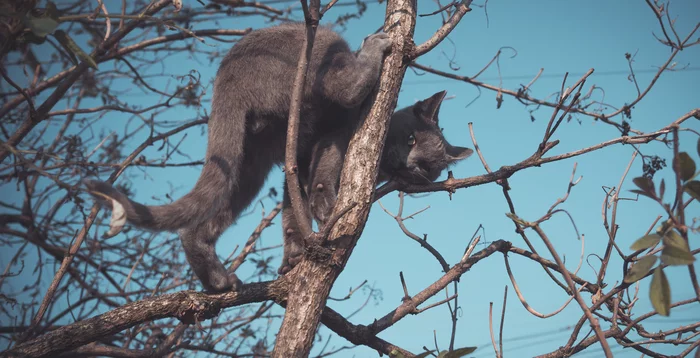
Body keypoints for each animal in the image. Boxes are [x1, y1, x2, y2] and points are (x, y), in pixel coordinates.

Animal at [85, 22, 474, 292]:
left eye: (426, 169)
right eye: (410, 139)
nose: (409, 165)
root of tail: (229, 73)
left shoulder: (297, 159)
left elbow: (290, 209)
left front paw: (294, 255)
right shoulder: (334, 135)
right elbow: (321, 176)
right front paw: (324, 210)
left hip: (248, 164)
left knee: (198, 224)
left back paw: (217, 280)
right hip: (318, 61)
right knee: (346, 84)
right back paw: (375, 43)